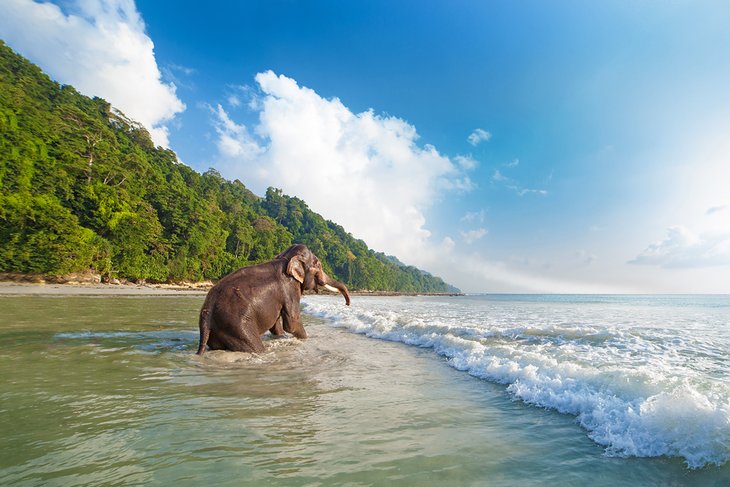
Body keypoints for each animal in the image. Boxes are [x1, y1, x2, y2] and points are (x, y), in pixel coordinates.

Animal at [196, 244, 350, 354]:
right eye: (318, 265)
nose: (347, 304)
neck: (286, 258)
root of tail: (206, 314)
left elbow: (276, 324)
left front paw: (282, 337)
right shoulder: (289, 288)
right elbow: (292, 323)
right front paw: (306, 339)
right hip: (237, 326)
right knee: (255, 347)